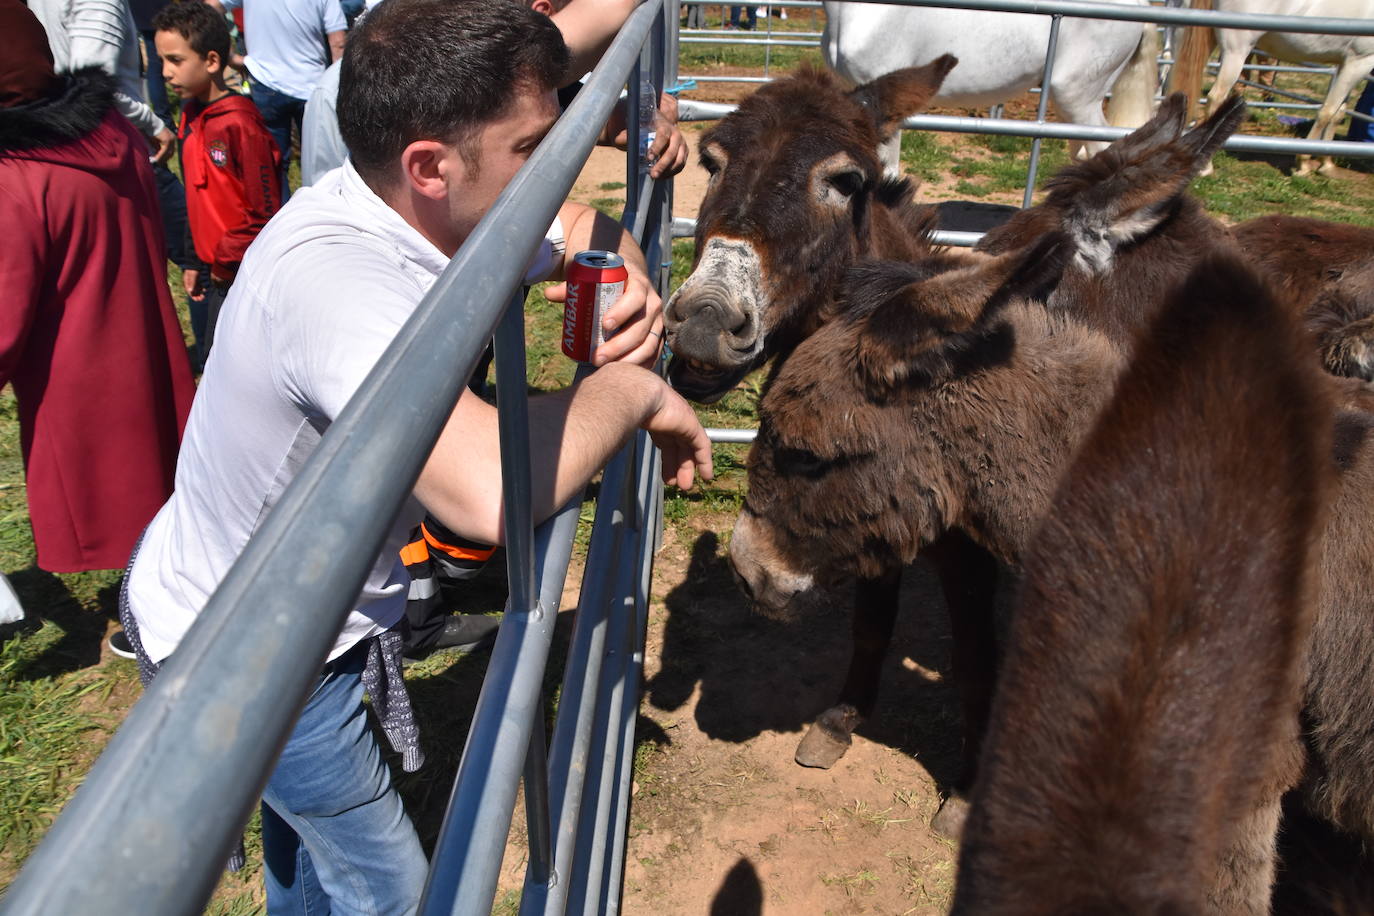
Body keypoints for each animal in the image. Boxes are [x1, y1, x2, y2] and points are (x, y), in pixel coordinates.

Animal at [1170, 0, 1374, 173]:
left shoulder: (1345, 64)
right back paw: (1207, 165)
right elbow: (1327, 113)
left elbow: (1338, 114)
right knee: (1216, 97)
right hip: (1236, 51)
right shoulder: (1359, 62)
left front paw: (1327, 164)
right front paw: (1303, 163)